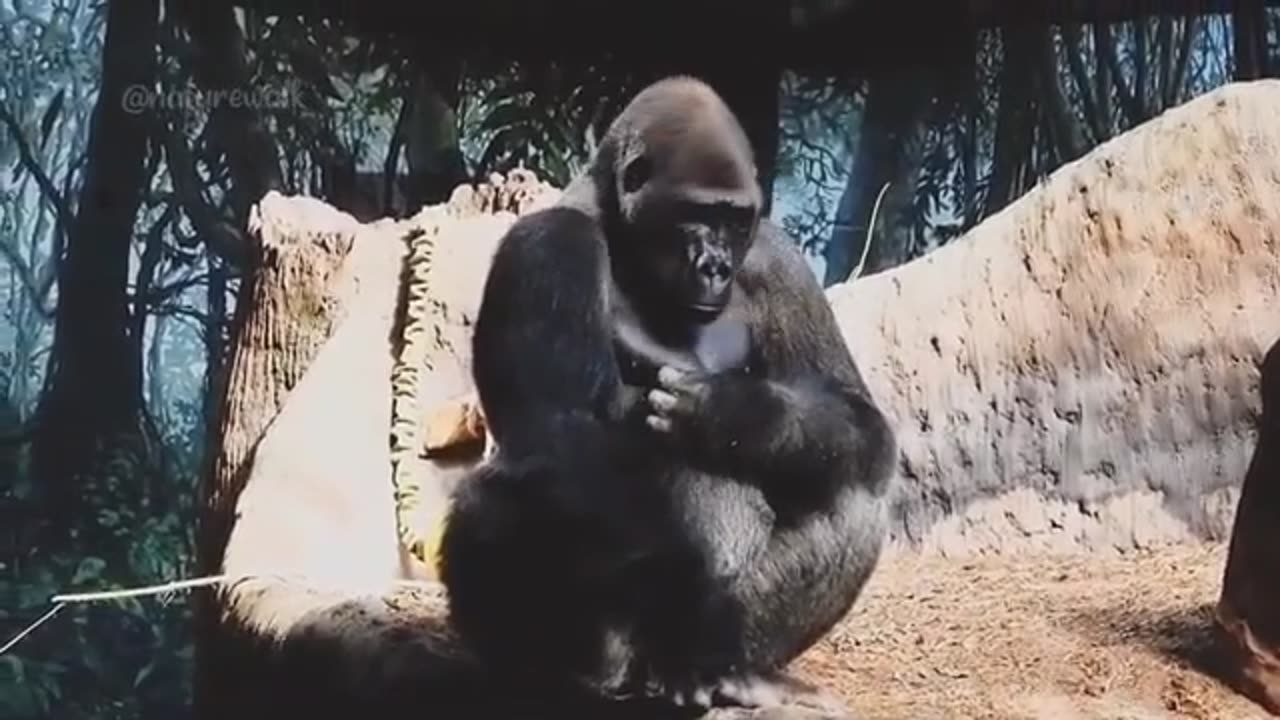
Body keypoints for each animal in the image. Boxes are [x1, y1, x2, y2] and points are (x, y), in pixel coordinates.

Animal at [437, 75, 898, 712]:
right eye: (694, 215)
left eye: (734, 220)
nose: (715, 266)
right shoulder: (548, 243)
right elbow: (559, 434)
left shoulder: (777, 259)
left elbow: (856, 414)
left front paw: (738, 417)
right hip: (620, 656)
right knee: (499, 501)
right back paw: (549, 676)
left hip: (696, 654)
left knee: (848, 482)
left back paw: (739, 670)